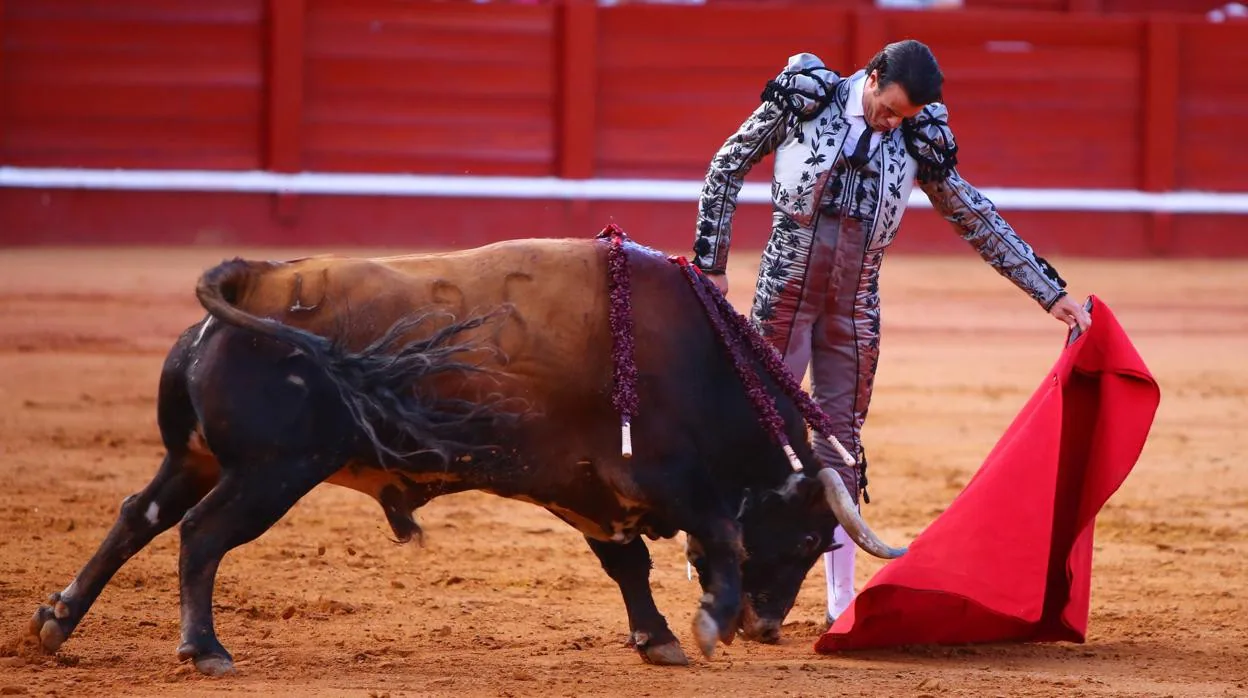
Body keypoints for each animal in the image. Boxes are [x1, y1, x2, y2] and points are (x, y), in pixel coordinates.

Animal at [26, 231, 908, 679]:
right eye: (809, 538)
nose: (766, 628)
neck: (700, 359)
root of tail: (249, 285)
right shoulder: (656, 477)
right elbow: (717, 537)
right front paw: (706, 625)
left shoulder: (585, 487)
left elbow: (626, 564)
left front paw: (657, 638)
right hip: (270, 474)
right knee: (200, 536)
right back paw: (205, 650)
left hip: (198, 459)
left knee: (137, 516)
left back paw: (55, 622)